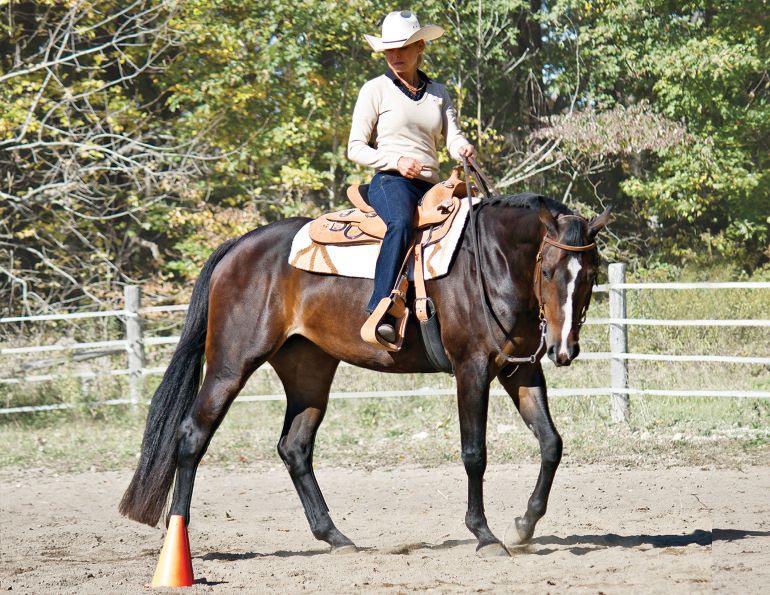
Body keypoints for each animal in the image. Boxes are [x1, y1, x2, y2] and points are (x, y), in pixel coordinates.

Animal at [119, 191, 611, 556]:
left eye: (590, 274)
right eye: (548, 269)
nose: (564, 350)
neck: (489, 262)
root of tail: (239, 247)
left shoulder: (517, 371)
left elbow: (551, 443)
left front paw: (524, 525)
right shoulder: (470, 369)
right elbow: (475, 454)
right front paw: (485, 535)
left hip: (309, 370)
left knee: (294, 447)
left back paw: (335, 537)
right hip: (230, 364)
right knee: (192, 435)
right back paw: (179, 537)